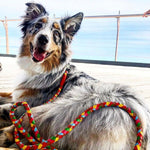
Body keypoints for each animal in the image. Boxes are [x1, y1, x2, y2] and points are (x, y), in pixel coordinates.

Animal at [0, 2, 150, 150]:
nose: (43, 39)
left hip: (59, 107)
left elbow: (6, 108)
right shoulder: (18, 96)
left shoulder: (26, 104)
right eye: (37, 26)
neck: (43, 68)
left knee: (20, 125)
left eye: (56, 33)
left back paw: (3, 135)